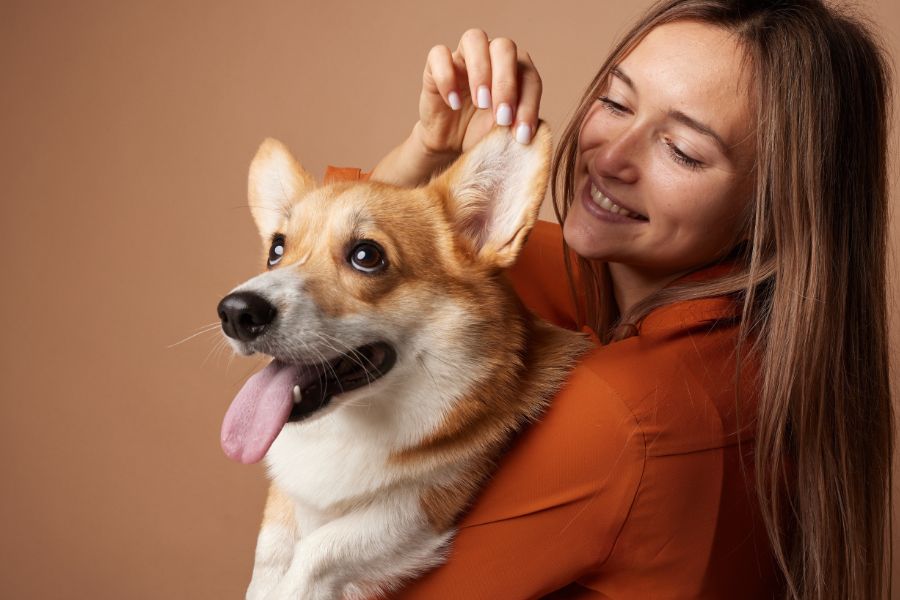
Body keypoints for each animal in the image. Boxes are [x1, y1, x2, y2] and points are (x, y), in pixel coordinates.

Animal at [218, 123, 592, 600]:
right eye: (276, 250)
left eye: (366, 256)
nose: (235, 313)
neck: (350, 427)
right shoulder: (287, 498)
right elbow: (270, 555)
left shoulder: (421, 507)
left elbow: (320, 552)